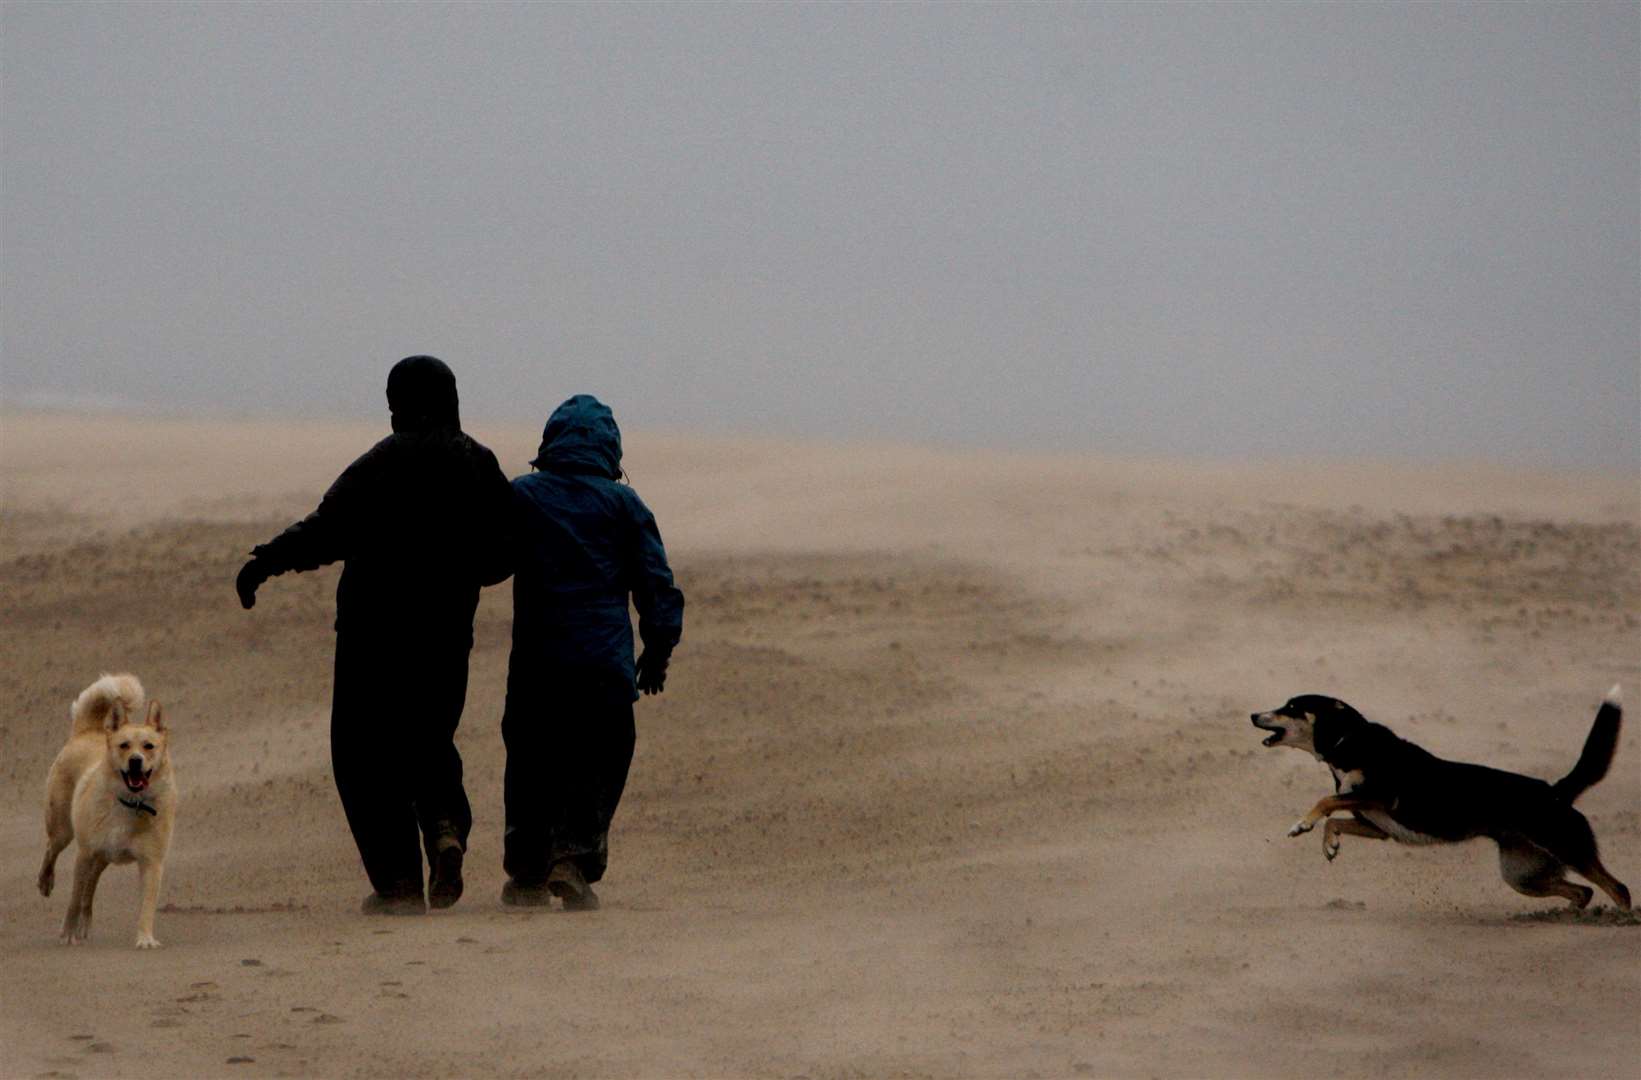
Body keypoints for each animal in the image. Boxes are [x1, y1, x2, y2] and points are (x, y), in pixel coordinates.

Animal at [37, 672, 177, 945]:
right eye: (124, 745)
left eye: (149, 746)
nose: (135, 761)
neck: (130, 802)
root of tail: (86, 730)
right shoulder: (84, 854)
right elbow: (73, 898)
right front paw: (67, 932)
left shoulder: (152, 863)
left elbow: (147, 905)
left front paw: (145, 938)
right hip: (63, 830)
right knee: (52, 849)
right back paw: (46, 882)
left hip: (103, 857)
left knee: (91, 888)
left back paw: (85, 923)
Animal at [1253, 686, 1627, 906]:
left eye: (1291, 706)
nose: (1254, 714)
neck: (1348, 742)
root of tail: (1557, 791)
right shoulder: (1377, 825)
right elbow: (1335, 819)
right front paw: (1329, 845)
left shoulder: (1382, 799)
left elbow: (1325, 802)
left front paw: (1302, 825)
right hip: (1523, 874)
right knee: (1583, 892)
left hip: (1568, 848)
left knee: (1617, 889)